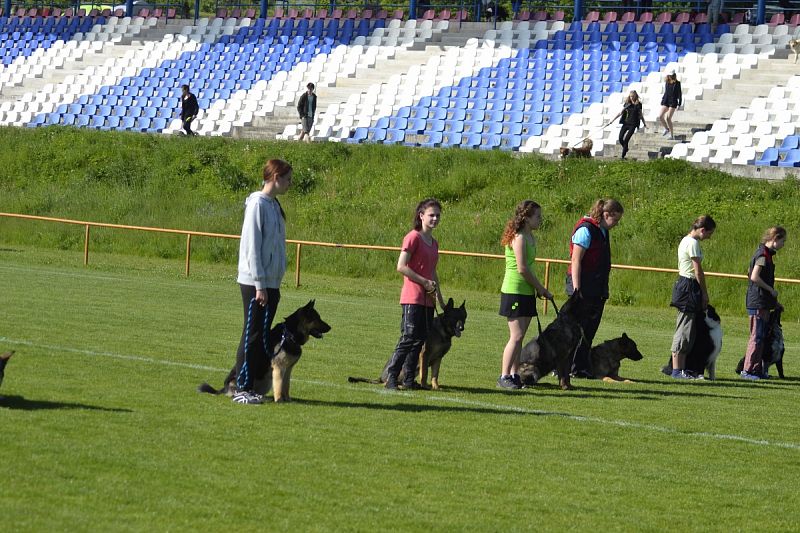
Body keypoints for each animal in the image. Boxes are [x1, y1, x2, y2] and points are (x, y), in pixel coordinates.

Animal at [200, 302, 332, 402]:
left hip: (266, 382)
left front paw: (287, 399)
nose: (330, 327)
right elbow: (279, 385)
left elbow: (286, 386)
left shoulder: (288, 369)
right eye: (317, 318)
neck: (289, 334)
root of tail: (223, 388)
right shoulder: (279, 368)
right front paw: (279, 400)